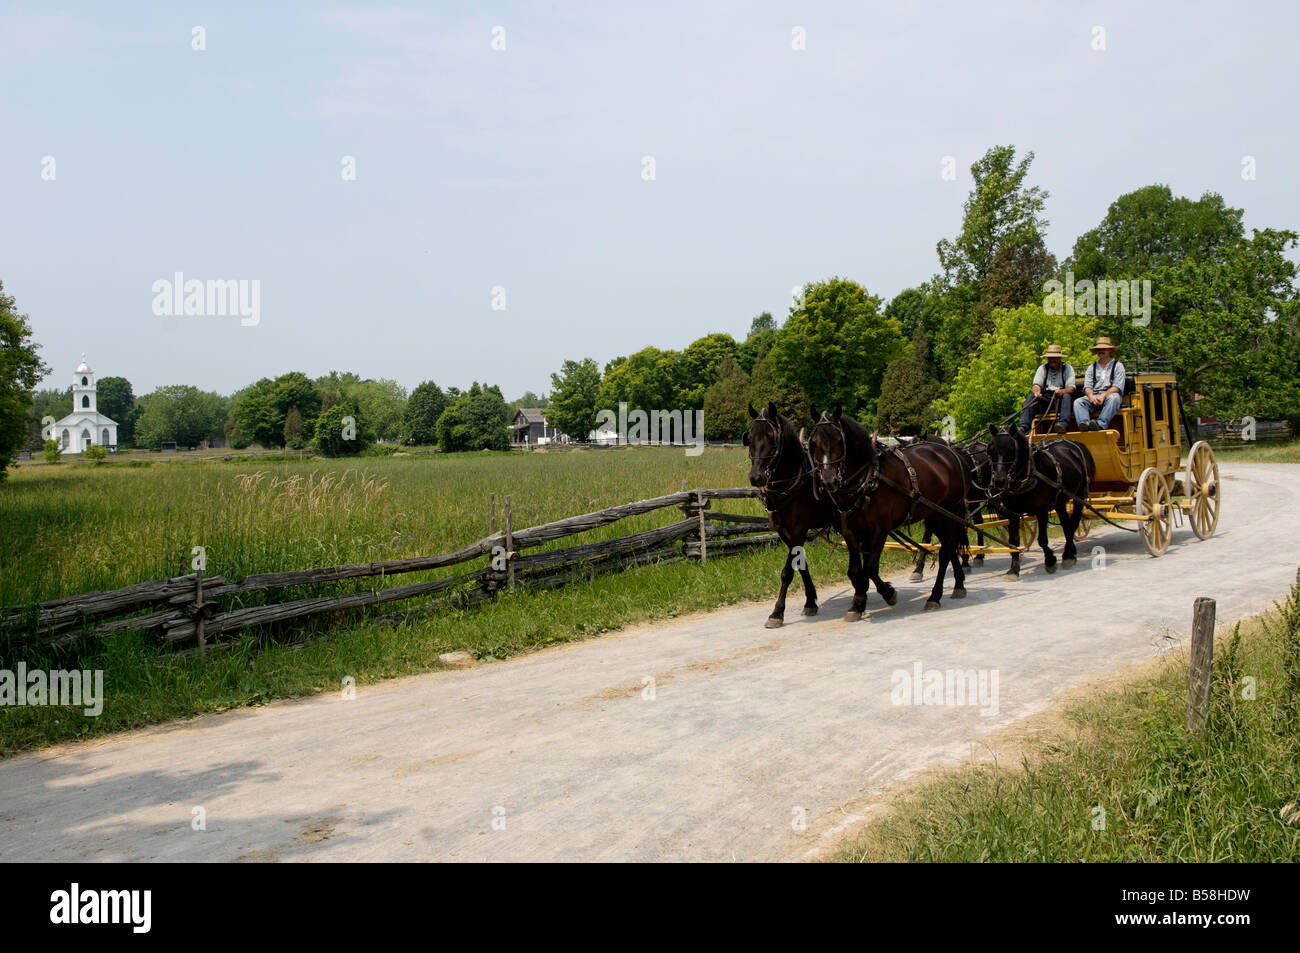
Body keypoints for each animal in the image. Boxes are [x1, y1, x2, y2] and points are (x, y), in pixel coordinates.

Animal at [748, 400, 837, 624]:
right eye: (749, 438)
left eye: (771, 438)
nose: (756, 477)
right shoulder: (784, 531)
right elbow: (801, 563)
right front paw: (810, 601)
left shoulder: (798, 529)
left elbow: (787, 571)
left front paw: (777, 612)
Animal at [806, 408, 972, 616]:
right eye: (814, 443)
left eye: (839, 441)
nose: (829, 481)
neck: (869, 478)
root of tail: (953, 454)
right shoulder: (851, 531)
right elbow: (855, 570)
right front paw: (858, 603)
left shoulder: (880, 528)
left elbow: (870, 567)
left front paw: (888, 593)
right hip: (935, 515)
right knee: (949, 547)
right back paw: (958, 584)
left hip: (949, 512)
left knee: (945, 553)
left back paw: (934, 596)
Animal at [982, 426, 1097, 577]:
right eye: (990, 449)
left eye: (1012, 449)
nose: (999, 480)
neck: (1027, 476)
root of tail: (1075, 443)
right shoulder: (1012, 512)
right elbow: (1014, 541)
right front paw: (1014, 569)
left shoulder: (1041, 510)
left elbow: (1042, 539)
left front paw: (1050, 561)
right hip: (1060, 499)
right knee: (1066, 524)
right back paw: (1070, 553)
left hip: (1079, 494)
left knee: (1074, 522)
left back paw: (1067, 554)